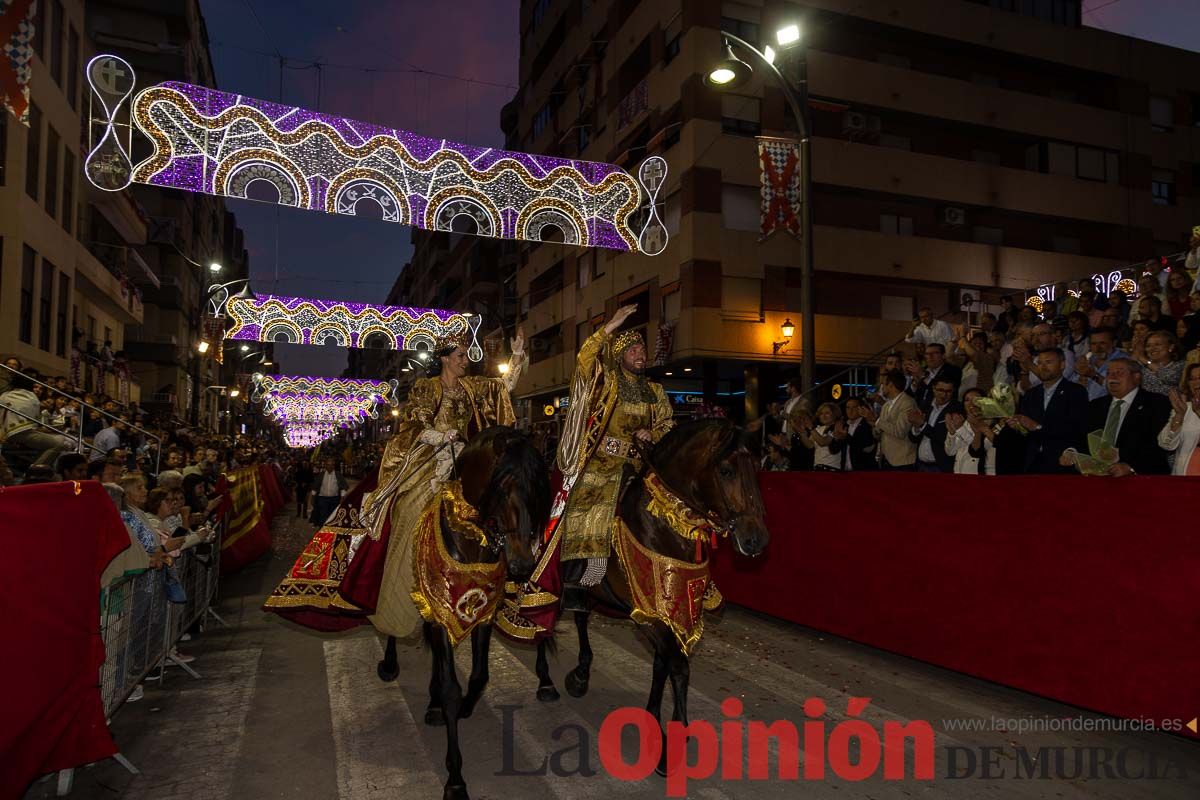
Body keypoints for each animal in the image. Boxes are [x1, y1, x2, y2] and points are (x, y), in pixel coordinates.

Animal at [376, 429, 549, 800]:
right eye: (503, 486)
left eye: (536, 489)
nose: (523, 564)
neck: (470, 541)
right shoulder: (440, 612)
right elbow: (451, 689)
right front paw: (455, 778)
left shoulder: (482, 616)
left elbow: (478, 676)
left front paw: (464, 706)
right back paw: (390, 664)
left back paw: (431, 704)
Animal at [535, 422, 768, 772]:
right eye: (726, 470)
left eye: (756, 467)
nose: (756, 540)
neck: (665, 524)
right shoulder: (651, 615)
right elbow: (679, 667)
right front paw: (672, 744)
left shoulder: (672, 614)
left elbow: (662, 665)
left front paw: (653, 720)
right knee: (540, 621)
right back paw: (546, 682)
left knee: (581, 617)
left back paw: (580, 675)